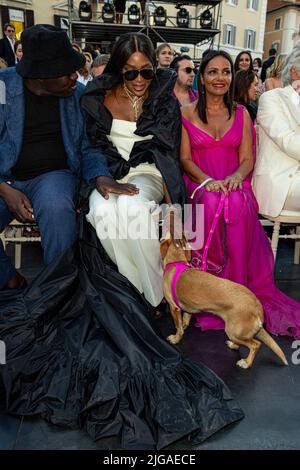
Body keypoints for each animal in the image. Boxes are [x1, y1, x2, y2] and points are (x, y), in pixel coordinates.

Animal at [159, 233, 288, 370]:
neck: (176, 262)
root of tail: (257, 306)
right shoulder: (188, 308)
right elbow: (185, 319)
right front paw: (184, 325)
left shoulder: (173, 308)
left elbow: (178, 326)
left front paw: (176, 338)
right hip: (237, 333)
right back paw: (234, 345)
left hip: (233, 332)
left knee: (255, 345)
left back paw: (246, 363)